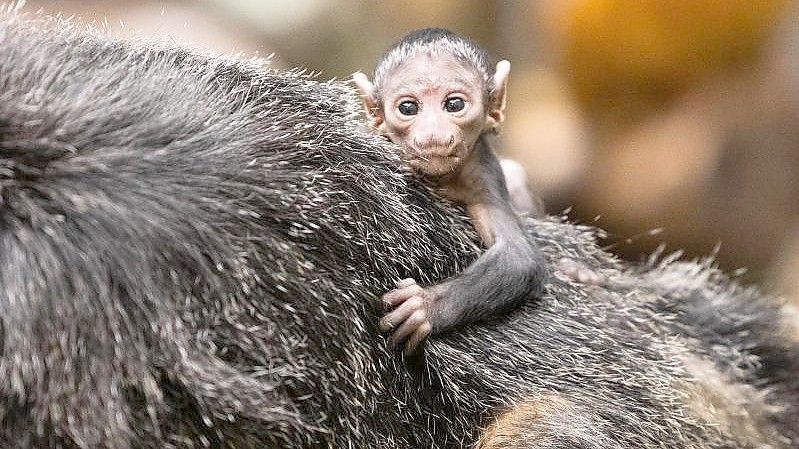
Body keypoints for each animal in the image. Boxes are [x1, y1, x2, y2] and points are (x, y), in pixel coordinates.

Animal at [356, 29, 552, 356]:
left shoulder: (483, 172)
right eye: (408, 108)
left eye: (454, 104)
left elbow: (518, 255)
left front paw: (425, 306)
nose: (433, 135)